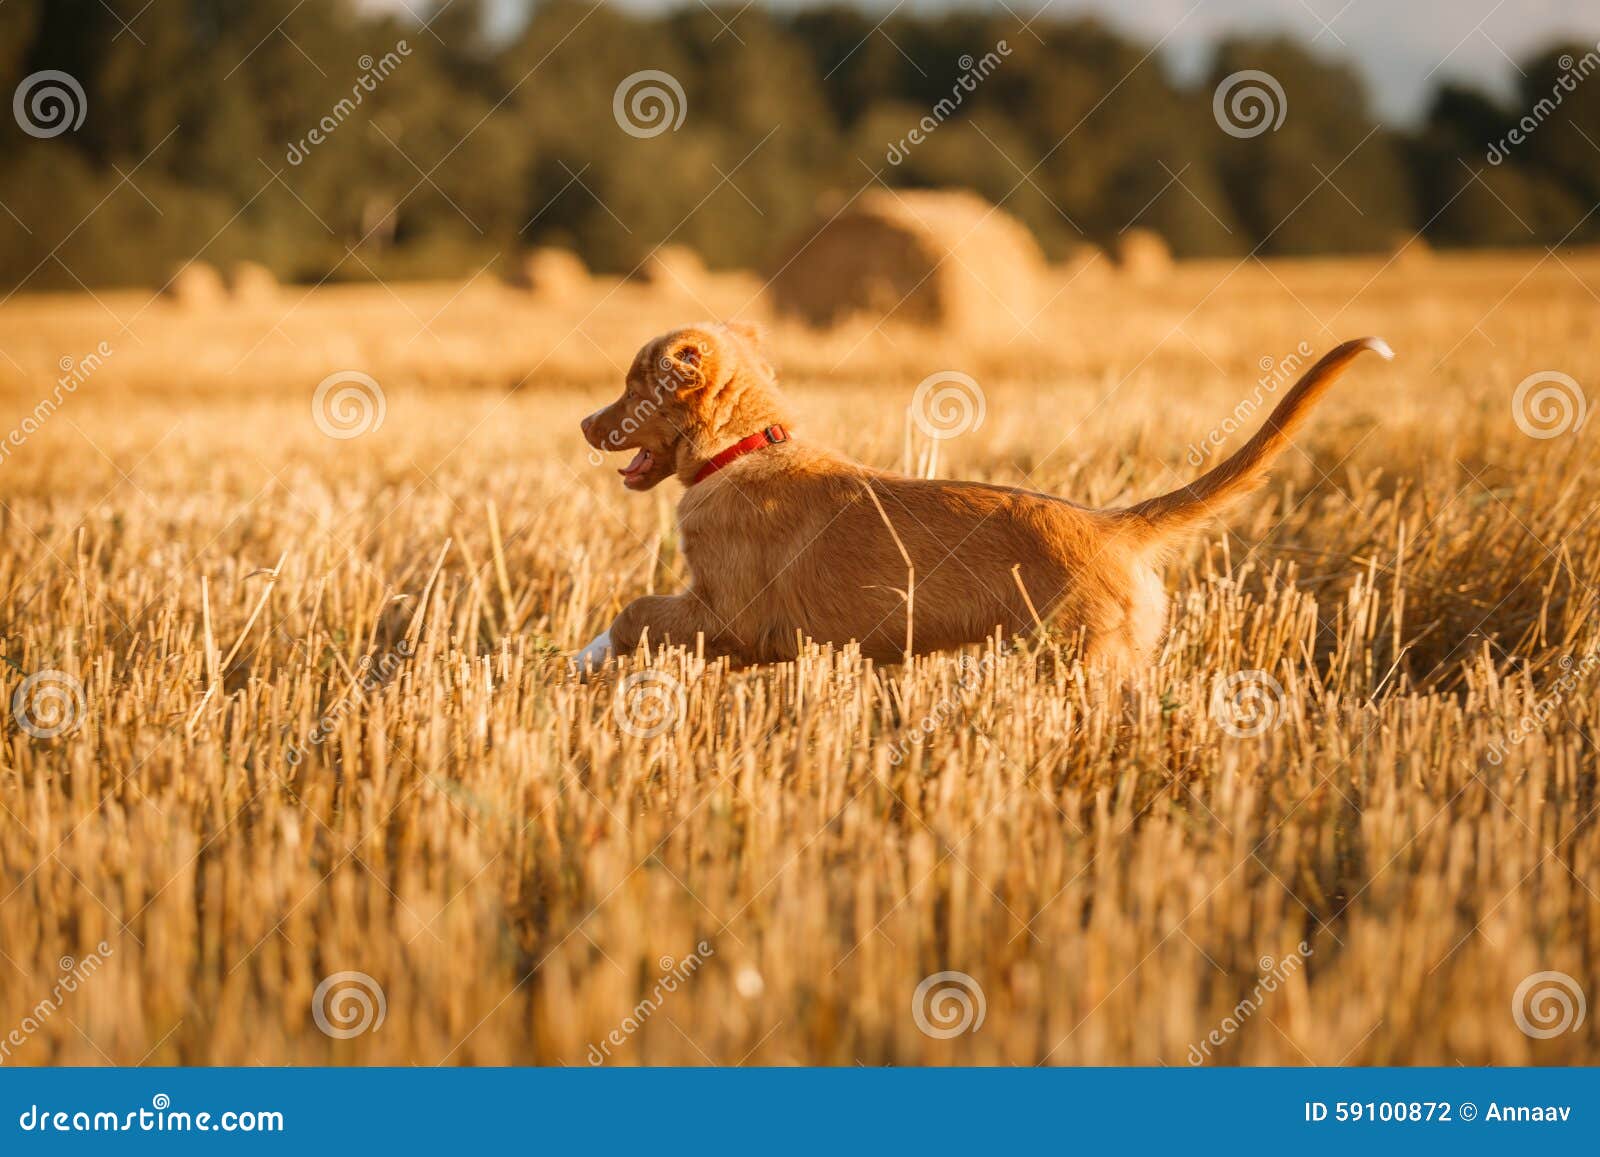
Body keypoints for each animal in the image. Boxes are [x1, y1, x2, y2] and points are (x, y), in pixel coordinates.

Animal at [576, 321, 1388, 675]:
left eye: (634, 385)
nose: (584, 424)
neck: (744, 448)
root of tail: (1113, 526)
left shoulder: (729, 613)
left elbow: (633, 612)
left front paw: (585, 659)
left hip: (1081, 658)